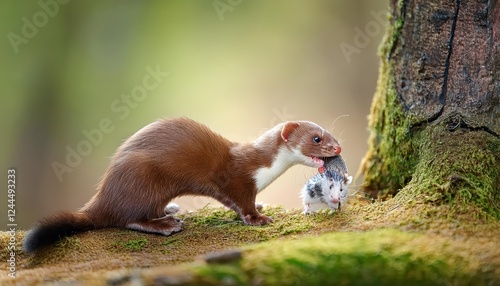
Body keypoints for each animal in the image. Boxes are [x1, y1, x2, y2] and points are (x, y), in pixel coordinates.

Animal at [25, 117, 342, 251]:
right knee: (125, 218)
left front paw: (261, 206)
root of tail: (103, 195)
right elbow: (241, 202)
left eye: (330, 132)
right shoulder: (237, 180)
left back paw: (169, 210)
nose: (338, 147)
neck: (264, 168)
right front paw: (259, 218)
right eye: (316, 138)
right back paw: (165, 223)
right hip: (142, 177)